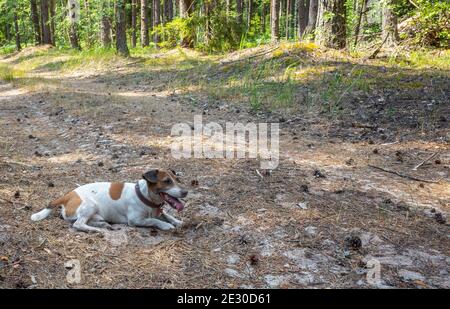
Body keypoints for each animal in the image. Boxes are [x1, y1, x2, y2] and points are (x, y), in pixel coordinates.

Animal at [30, 168, 188, 231]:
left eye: (177, 179)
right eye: (167, 181)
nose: (186, 192)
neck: (145, 196)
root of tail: (68, 195)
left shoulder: (158, 211)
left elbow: (166, 215)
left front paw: (177, 221)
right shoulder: (135, 220)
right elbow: (153, 220)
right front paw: (166, 225)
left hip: (93, 213)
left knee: (82, 221)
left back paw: (101, 225)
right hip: (90, 205)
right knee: (78, 224)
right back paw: (95, 230)